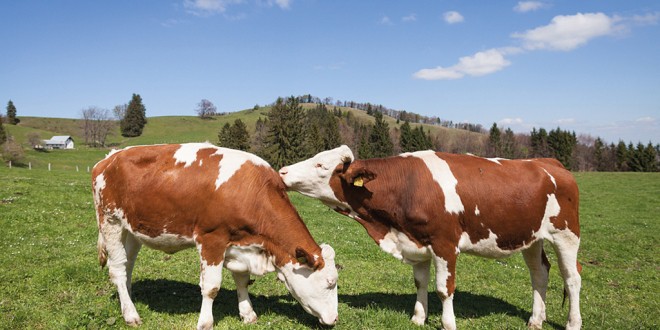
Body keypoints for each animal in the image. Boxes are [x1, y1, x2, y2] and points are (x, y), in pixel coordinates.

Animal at [91, 143, 340, 328]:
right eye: (330, 283)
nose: (335, 319)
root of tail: (110, 158)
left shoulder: (240, 243)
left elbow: (242, 280)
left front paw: (247, 313)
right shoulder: (211, 239)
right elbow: (211, 287)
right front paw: (205, 322)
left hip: (132, 229)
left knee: (127, 265)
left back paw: (128, 300)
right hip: (110, 221)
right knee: (117, 269)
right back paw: (130, 314)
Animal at [278, 146, 584, 330]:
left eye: (320, 165)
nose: (282, 171)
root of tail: (549, 162)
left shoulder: (444, 244)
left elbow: (443, 288)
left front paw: (448, 323)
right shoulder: (417, 241)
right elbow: (420, 282)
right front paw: (418, 317)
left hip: (567, 234)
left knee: (572, 278)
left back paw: (573, 322)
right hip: (531, 237)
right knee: (539, 273)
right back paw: (536, 319)